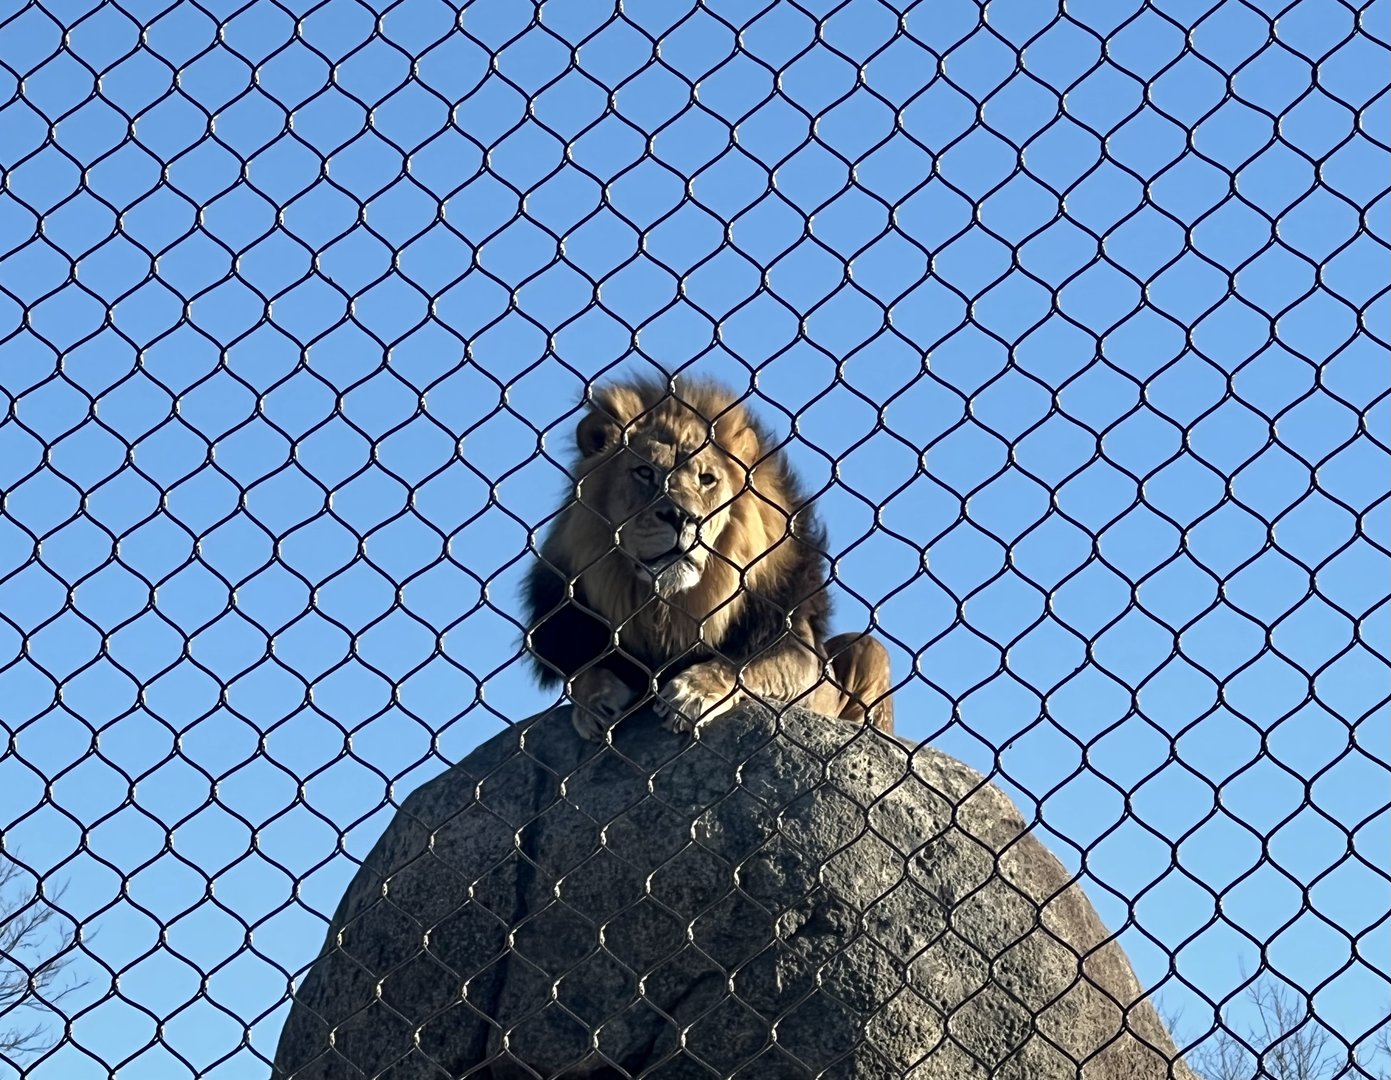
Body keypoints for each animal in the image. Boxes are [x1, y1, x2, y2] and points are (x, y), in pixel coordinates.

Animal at [522, 375, 894, 742]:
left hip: (868, 651)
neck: (668, 609)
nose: (680, 517)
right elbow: (584, 671)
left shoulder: (796, 647)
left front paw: (691, 694)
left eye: (706, 479)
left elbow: (739, 664)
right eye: (644, 472)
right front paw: (597, 701)